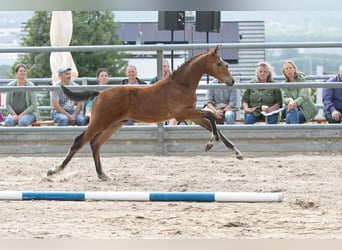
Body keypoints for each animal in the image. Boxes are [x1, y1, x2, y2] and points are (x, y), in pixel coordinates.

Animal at [47, 45, 243, 181]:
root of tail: (100, 93)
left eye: (226, 63)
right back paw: (54, 170)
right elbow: (211, 116)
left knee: (95, 144)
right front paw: (210, 144)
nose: (231, 81)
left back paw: (103, 174)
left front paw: (236, 152)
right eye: (219, 64)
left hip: (114, 124)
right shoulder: (182, 114)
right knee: (79, 141)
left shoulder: (190, 116)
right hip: (100, 122)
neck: (181, 84)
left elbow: (211, 123)